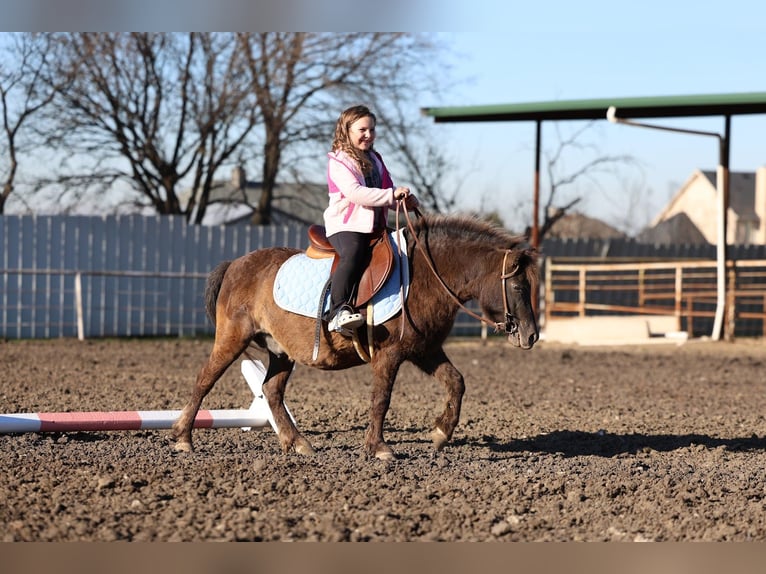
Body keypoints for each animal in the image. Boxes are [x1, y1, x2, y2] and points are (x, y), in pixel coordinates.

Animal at [171, 212, 539, 460]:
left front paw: (440, 433)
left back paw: (297, 443)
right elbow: (382, 399)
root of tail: (236, 263)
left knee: (272, 392)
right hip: (232, 338)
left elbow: (456, 382)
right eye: (518, 286)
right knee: (204, 380)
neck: (425, 275)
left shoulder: (425, 350)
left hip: (281, 351)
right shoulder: (390, 354)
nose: (532, 336)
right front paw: (379, 447)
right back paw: (183, 437)